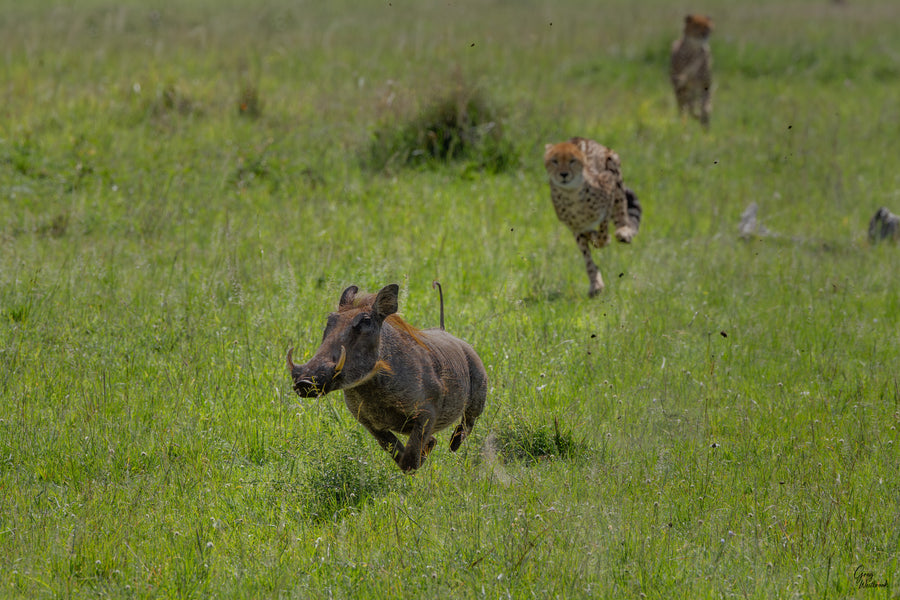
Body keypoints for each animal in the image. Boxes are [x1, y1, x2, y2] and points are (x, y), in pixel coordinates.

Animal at [544, 137, 642, 297]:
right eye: (554, 161)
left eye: (572, 160)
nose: (564, 174)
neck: (571, 193)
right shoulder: (575, 227)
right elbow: (588, 256)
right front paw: (595, 283)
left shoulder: (609, 186)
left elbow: (602, 233)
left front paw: (603, 239)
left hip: (613, 165)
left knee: (621, 209)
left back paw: (623, 231)